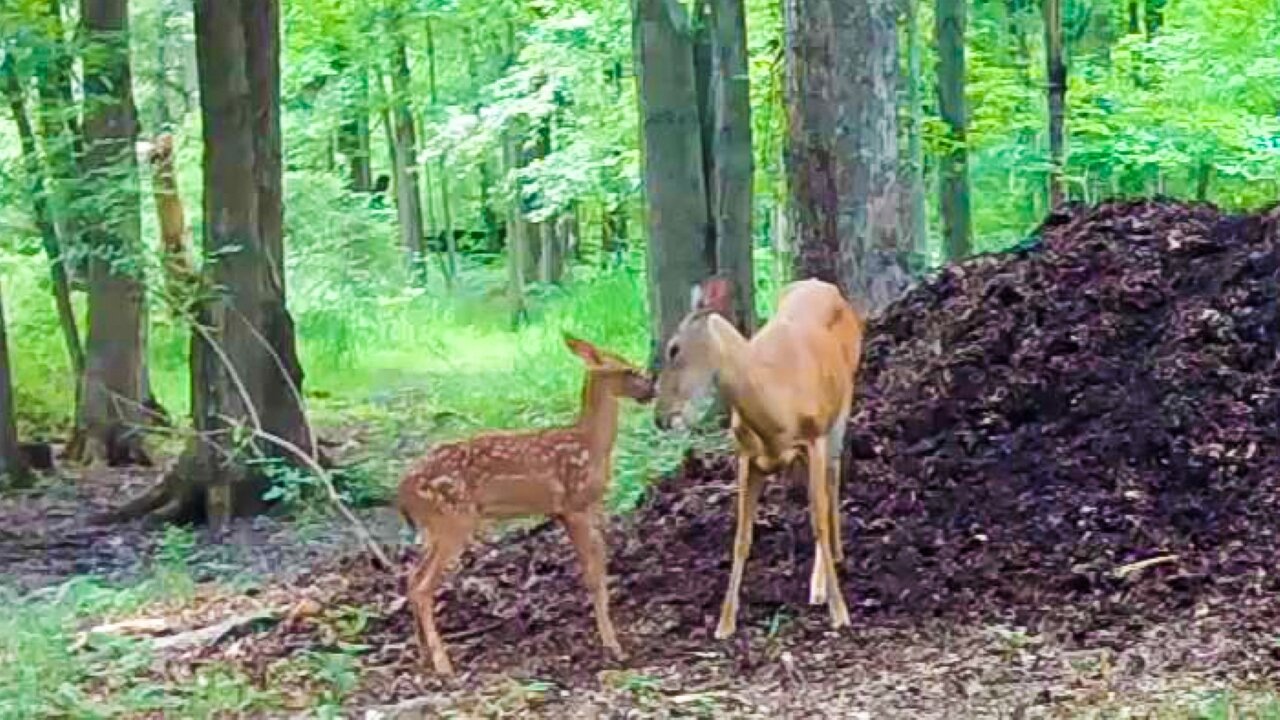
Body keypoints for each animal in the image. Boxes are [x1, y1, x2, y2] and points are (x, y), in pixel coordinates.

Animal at [394, 335, 655, 671]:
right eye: (628, 370)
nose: (651, 391)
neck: (591, 444)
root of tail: (402, 491)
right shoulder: (574, 506)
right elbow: (594, 574)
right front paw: (613, 646)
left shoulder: (571, 511)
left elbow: (596, 567)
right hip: (453, 518)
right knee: (423, 585)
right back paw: (443, 665)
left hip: (435, 527)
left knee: (412, 578)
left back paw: (424, 655)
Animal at [655, 274, 865, 632]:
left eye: (674, 348)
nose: (660, 417)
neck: (775, 409)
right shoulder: (746, 456)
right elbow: (741, 538)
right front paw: (725, 623)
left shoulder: (815, 437)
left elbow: (818, 521)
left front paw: (840, 612)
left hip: (842, 404)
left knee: (833, 479)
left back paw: (825, 576)